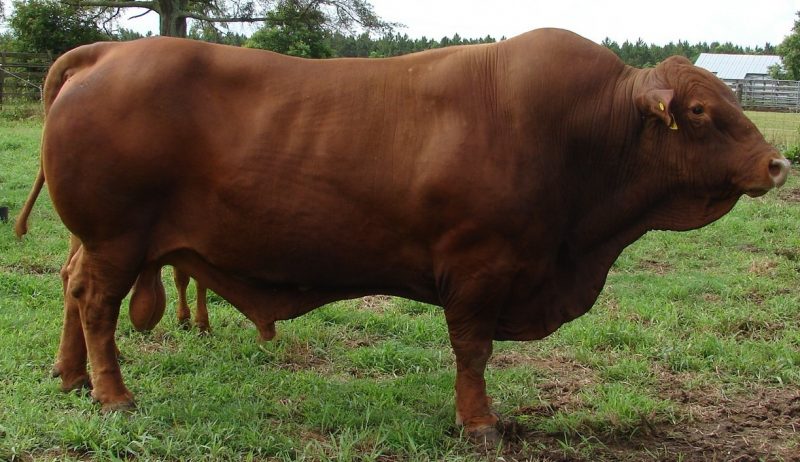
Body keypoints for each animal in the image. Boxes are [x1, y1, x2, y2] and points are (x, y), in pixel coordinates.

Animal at [19, 28, 790, 444]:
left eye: (728, 98)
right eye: (699, 110)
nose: (777, 162)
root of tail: (109, 52)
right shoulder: (480, 267)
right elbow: (472, 352)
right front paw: (479, 423)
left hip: (101, 241)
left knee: (74, 290)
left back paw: (70, 378)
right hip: (116, 240)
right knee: (96, 307)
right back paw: (112, 395)